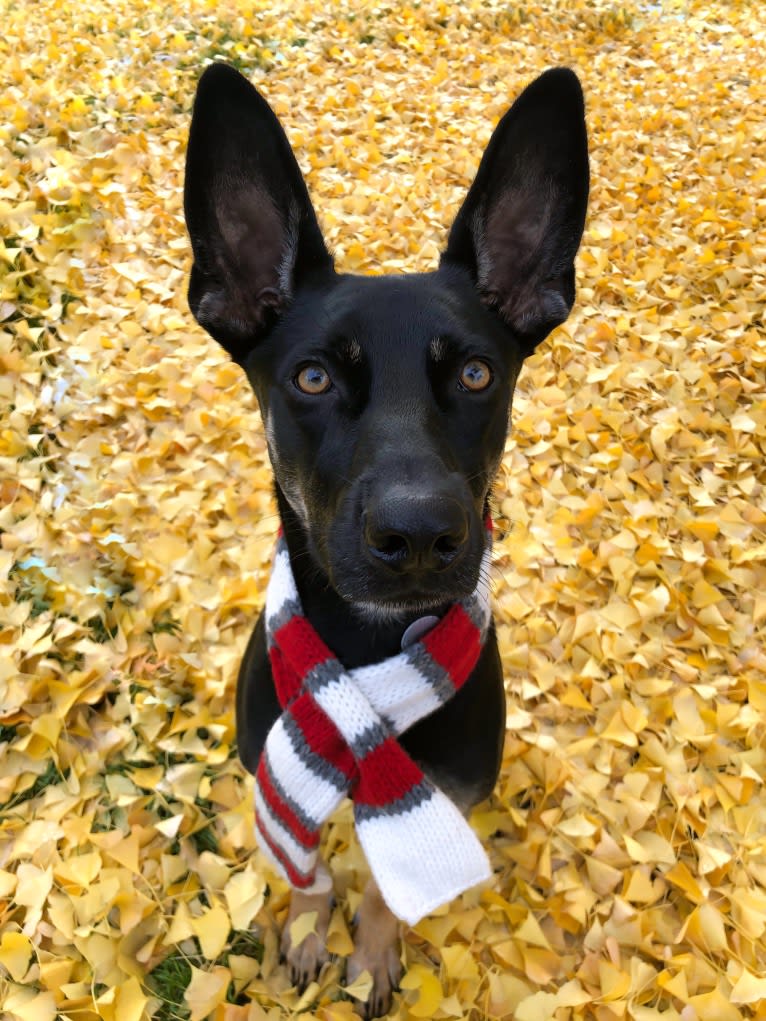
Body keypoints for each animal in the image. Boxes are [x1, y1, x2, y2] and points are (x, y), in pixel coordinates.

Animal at [182, 61, 592, 1012]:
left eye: (477, 372)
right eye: (312, 377)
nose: (418, 533)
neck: (365, 660)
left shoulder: (450, 791)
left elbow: (376, 885)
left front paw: (369, 956)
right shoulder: (276, 774)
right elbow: (307, 868)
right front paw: (306, 935)